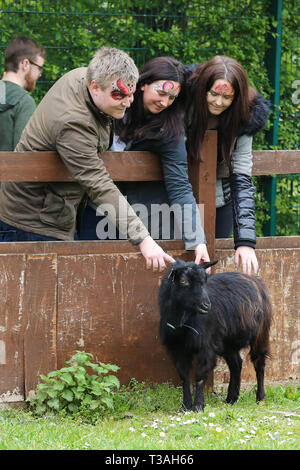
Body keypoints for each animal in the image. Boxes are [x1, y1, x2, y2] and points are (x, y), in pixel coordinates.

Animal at [158, 258, 274, 410]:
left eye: (204, 281)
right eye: (183, 281)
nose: (206, 305)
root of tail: (255, 280)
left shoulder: (206, 346)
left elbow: (200, 375)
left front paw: (198, 406)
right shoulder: (177, 347)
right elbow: (184, 376)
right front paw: (185, 406)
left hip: (260, 334)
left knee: (259, 363)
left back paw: (260, 398)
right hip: (227, 342)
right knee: (236, 364)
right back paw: (231, 399)